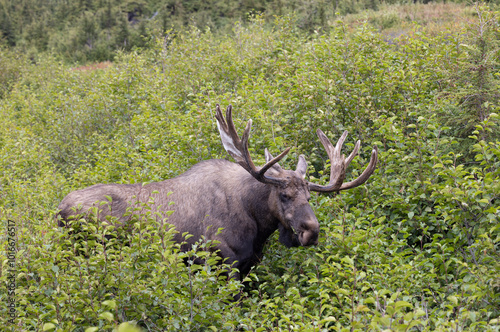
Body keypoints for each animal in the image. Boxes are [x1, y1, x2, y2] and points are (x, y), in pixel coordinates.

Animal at [57, 104, 376, 280]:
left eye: (309, 197)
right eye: (284, 196)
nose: (311, 232)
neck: (257, 223)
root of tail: (58, 211)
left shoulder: (250, 263)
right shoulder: (220, 260)